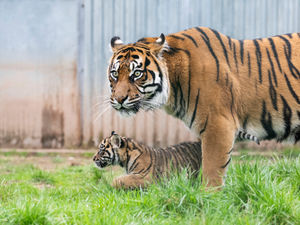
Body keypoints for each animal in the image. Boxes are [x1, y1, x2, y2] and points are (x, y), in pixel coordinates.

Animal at [106, 26, 298, 188]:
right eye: (115, 74)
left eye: (137, 74)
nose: (119, 99)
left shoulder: (218, 125)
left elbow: (212, 169)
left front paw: (210, 198)